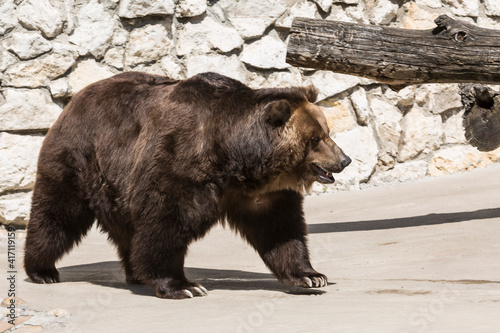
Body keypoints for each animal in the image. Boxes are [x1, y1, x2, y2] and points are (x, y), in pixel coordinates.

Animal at [24, 72, 352, 298]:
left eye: (327, 131)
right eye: (315, 139)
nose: (344, 159)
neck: (235, 159)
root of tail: (75, 99)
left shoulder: (263, 193)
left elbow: (281, 230)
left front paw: (311, 276)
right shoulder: (179, 163)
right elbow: (165, 223)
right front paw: (183, 286)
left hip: (118, 185)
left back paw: (134, 273)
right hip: (79, 160)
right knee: (57, 214)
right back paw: (42, 270)